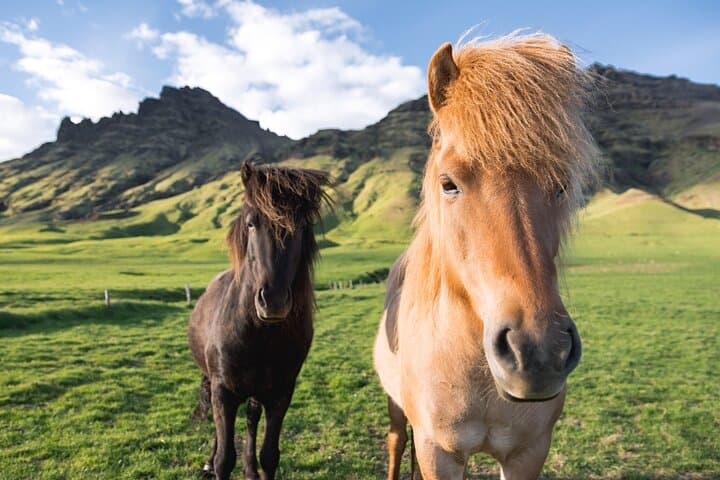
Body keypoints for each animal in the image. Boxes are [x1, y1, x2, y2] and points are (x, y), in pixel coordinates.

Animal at [188, 162, 331, 480]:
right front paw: (215, 462)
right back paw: (208, 460)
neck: (258, 335)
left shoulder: (281, 394)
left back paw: (249, 469)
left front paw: (255, 466)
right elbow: (224, 458)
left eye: (301, 226)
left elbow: (269, 455)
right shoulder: (223, 392)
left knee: (252, 420)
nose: (273, 300)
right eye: (252, 223)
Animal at [373, 33, 597, 480]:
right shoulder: (438, 452)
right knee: (395, 442)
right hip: (396, 409)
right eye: (448, 183)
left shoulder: (528, 453)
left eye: (562, 186)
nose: (538, 353)